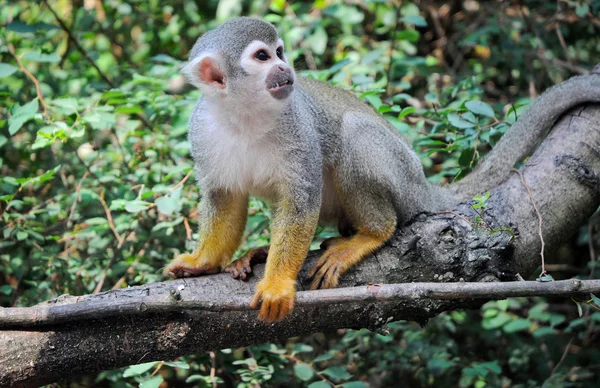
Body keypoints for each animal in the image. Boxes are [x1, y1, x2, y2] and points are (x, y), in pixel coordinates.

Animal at [165, 17, 600, 322]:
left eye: (280, 52)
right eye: (261, 57)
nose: (285, 71)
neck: (245, 114)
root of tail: (423, 184)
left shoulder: (296, 124)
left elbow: (301, 200)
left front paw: (276, 284)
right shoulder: (202, 130)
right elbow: (224, 198)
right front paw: (203, 262)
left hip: (401, 177)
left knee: (354, 136)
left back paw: (372, 233)